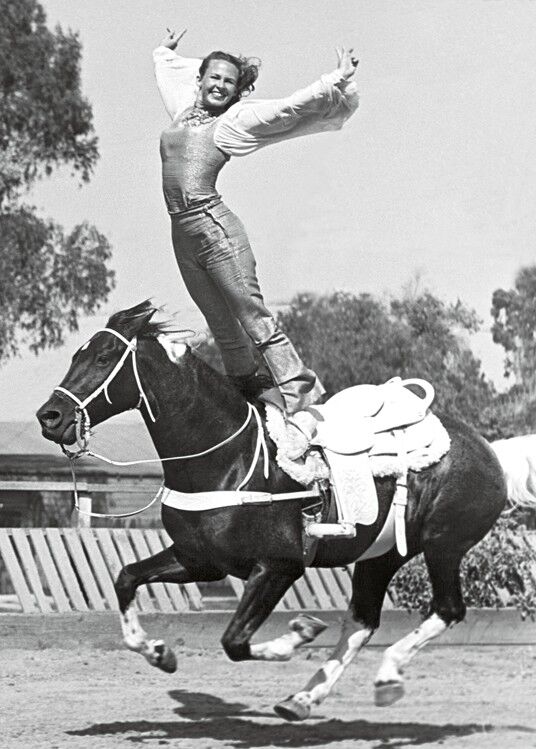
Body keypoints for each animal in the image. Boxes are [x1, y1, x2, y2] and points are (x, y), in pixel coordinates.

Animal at [36, 300, 507, 721]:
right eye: (76, 354)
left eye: (103, 357)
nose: (50, 416)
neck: (231, 459)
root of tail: (488, 450)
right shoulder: (199, 560)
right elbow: (126, 578)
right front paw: (158, 651)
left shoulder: (278, 567)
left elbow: (234, 642)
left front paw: (298, 634)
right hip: (380, 555)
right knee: (361, 622)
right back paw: (303, 700)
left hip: (443, 546)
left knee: (447, 610)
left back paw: (386, 675)